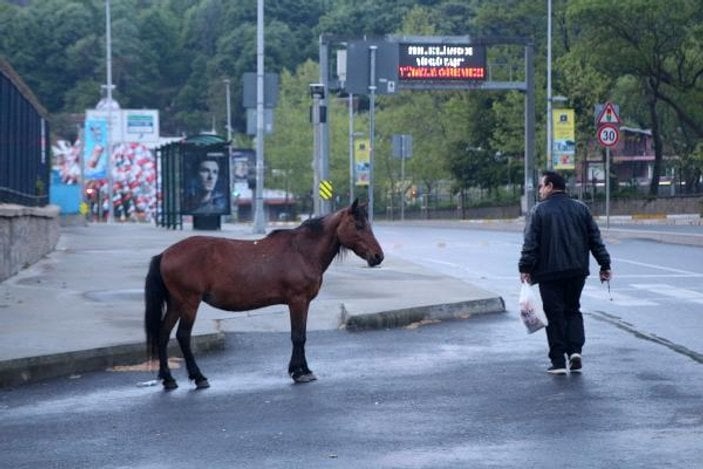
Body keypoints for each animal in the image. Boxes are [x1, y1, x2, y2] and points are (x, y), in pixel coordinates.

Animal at [144, 199, 384, 390]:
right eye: (359, 225)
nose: (378, 256)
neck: (302, 251)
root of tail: (165, 254)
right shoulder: (297, 301)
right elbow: (297, 336)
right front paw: (298, 372)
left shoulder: (304, 302)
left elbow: (302, 336)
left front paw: (304, 370)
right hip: (189, 302)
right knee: (183, 336)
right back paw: (198, 377)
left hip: (176, 303)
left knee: (163, 334)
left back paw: (168, 379)